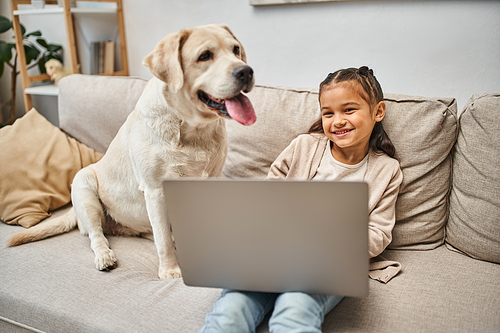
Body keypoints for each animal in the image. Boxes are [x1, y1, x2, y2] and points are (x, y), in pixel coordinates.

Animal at [6, 23, 258, 278]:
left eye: (235, 50)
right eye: (205, 56)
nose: (246, 72)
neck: (192, 129)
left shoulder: (213, 178)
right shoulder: (155, 191)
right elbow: (162, 240)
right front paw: (170, 271)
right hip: (84, 185)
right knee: (98, 235)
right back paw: (105, 256)